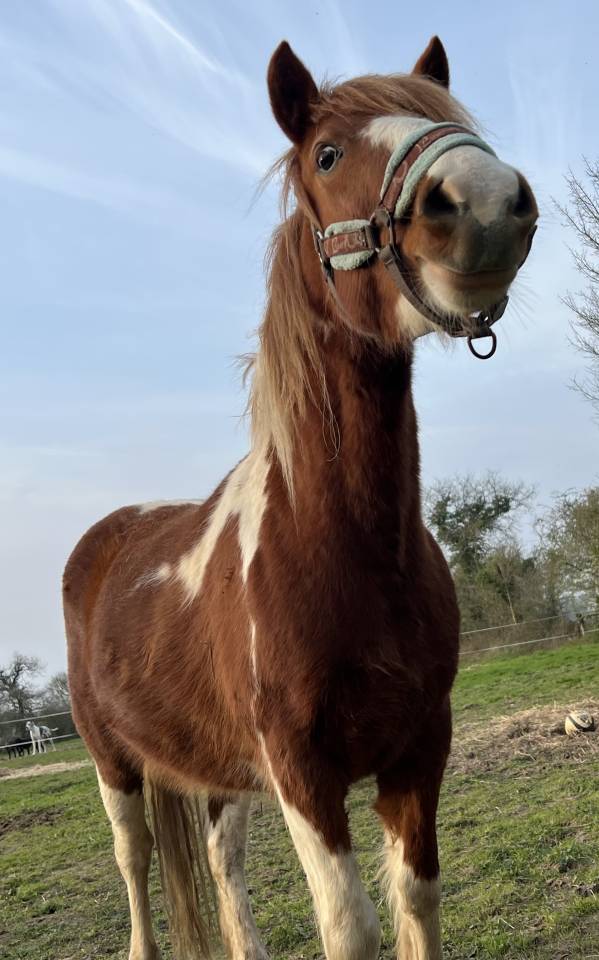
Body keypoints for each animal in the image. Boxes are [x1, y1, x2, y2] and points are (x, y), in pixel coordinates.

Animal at [64, 37, 537, 960]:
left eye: (447, 118)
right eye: (326, 154)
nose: (486, 202)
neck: (344, 547)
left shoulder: (418, 751)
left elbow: (417, 899)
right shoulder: (302, 774)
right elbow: (349, 928)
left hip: (216, 771)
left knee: (219, 860)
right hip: (115, 765)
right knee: (134, 863)